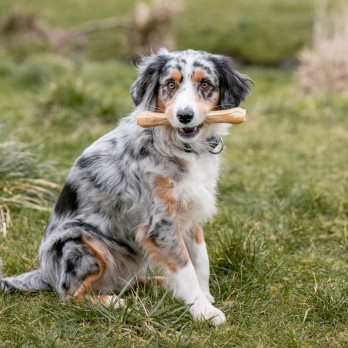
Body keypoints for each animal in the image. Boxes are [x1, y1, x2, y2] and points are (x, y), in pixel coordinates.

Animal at [0, 49, 251, 326]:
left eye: (205, 84)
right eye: (170, 84)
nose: (184, 116)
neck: (179, 145)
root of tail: (45, 273)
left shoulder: (189, 212)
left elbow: (200, 259)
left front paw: (204, 297)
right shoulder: (160, 224)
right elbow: (185, 267)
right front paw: (203, 310)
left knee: (126, 282)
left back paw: (162, 284)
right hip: (81, 241)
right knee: (69, 295)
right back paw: (112, 303)